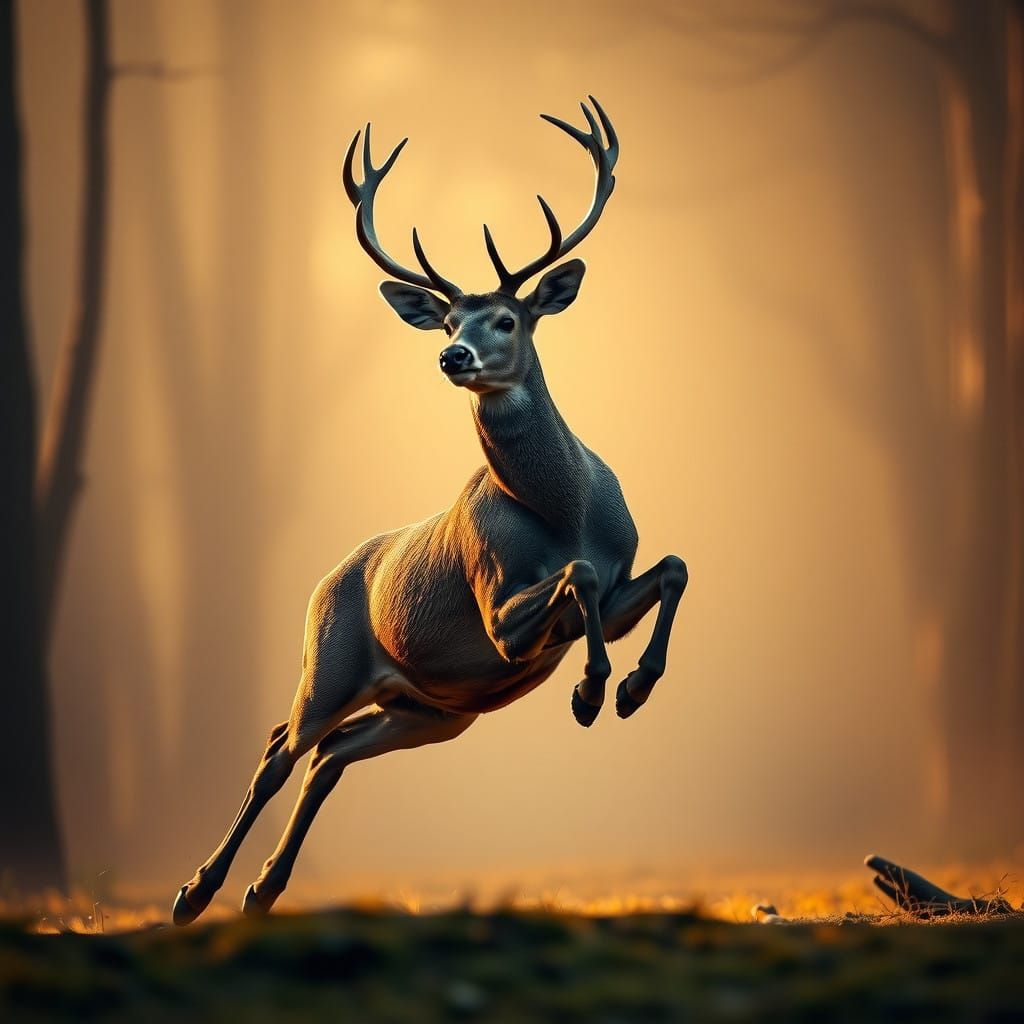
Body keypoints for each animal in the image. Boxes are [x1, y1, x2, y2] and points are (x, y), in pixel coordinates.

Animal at [171, 97, 688, 926]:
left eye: (507, 319)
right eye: (450, 324)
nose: (453, 356)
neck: (564, 509)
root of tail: (324, 581)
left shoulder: (615, 589)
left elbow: (670, 566)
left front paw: (631, 689)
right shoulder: (498, 610)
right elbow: (574, 575)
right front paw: (589, 693)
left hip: (432, 708)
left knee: (329, 756)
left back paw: (261, 890)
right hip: (331, 662)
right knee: (280, 748)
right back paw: (196, 893)